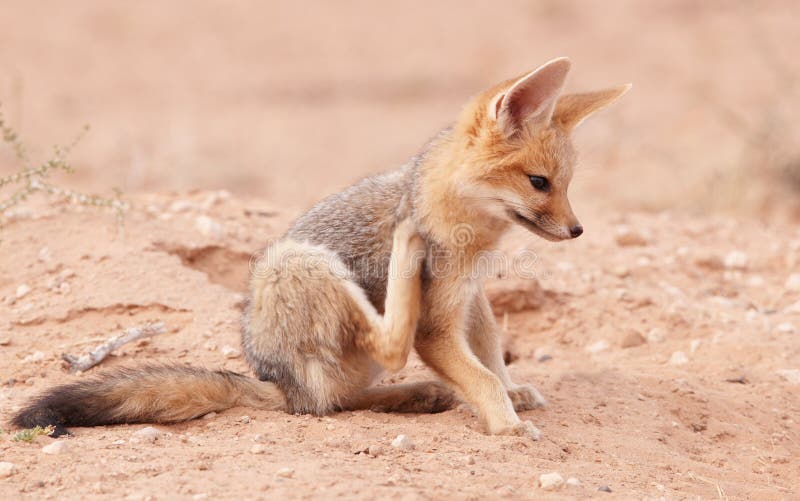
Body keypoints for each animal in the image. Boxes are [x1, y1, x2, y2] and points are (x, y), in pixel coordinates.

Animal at [9, 58, 628, 440]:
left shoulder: (471, 299)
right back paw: (405, 262)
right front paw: (506, 425)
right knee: (373, 361)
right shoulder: (438, 322)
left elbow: (492, 357)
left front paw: (512, 393)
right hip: (302, 264)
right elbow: (477, 374)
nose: (576, 231)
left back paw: (417, 395)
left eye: (566, 185)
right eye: (539, 183)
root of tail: (278, 383)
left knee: (338, 400)